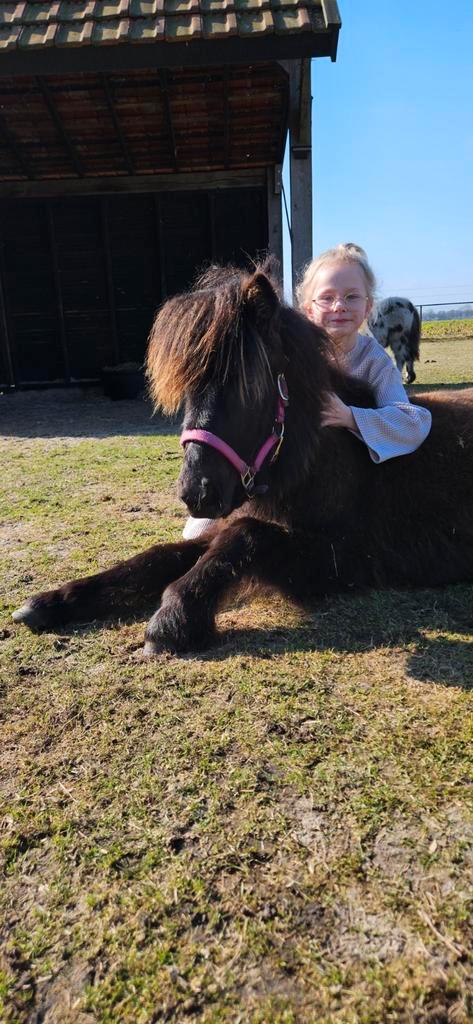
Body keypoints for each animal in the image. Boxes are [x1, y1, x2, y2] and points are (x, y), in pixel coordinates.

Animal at [12, 264, 473, 654]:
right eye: (189, 389)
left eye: (246, 389)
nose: (196, 493)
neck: (323, 466)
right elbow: (158, 557)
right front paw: (53, 602)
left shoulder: (341, 560)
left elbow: (245, 536)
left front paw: (176, 617)